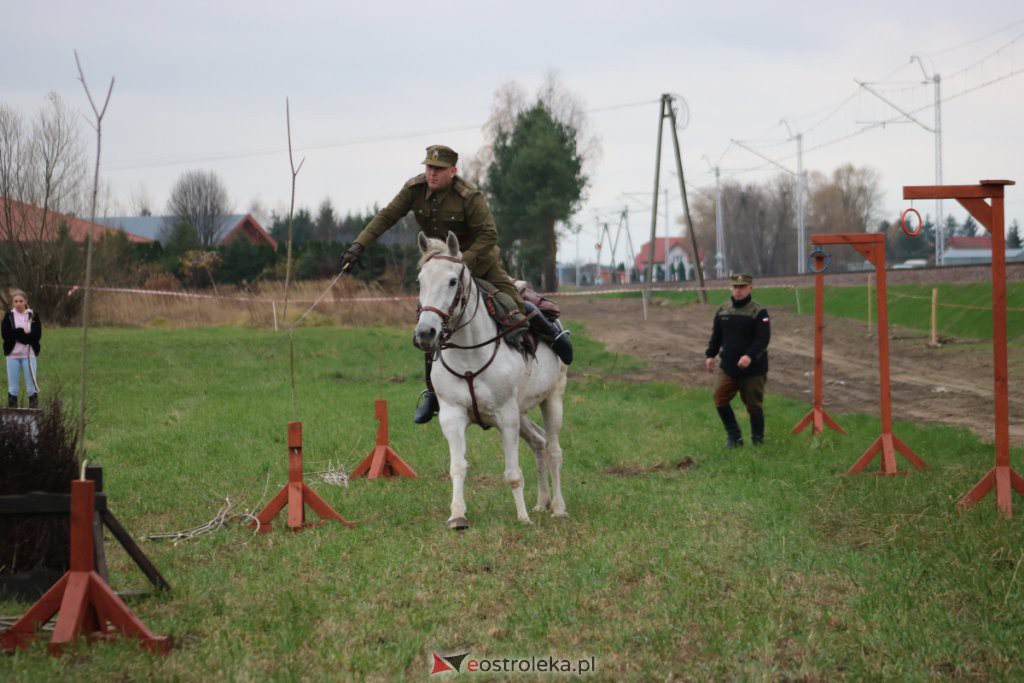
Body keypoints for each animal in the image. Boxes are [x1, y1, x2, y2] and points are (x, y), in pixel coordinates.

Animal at [413, 232, 573, 532]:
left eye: (452, 281)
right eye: (420, 281)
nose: (426, 332)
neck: (470, 354)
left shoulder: (506, 417)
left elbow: (513, 473)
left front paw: (522, 517)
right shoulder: (452, 416)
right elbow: (457, 467)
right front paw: (457, 516)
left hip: (552, 400)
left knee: (555, 450)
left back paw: (557, 507)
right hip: (522, 412)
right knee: (539, 442)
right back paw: (541, 502)